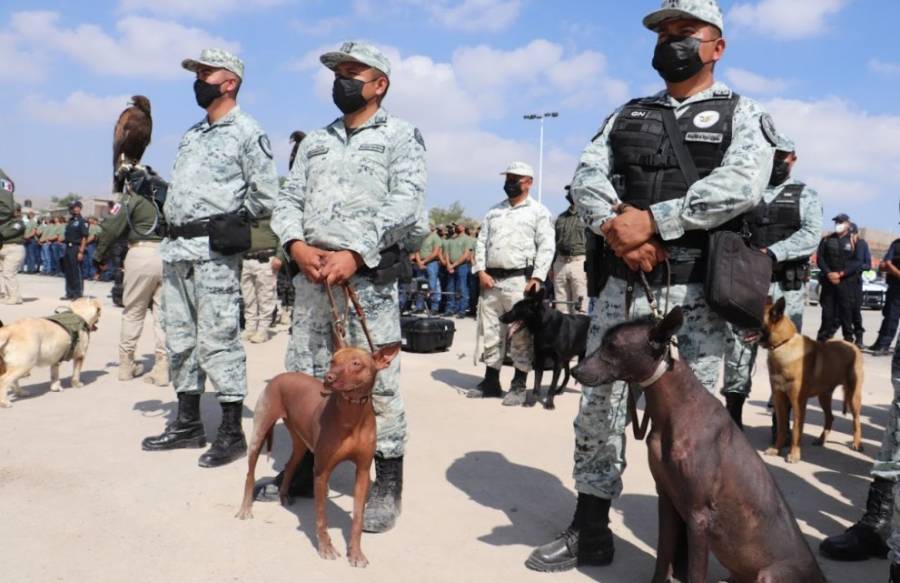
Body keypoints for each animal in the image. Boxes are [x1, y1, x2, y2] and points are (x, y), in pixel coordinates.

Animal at [236, 344, 400, 568]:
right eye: (333, 360)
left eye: (356, 363)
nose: (328, 377)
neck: (351, 413)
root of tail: (281, 376)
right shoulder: (322, 473)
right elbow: (322, 516)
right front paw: (326, 548)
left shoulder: (363, 472)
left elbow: (358, 519)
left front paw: (356, 553)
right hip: (260, 433)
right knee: (249, 474)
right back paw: (245, 508)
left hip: (300, 443)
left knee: (290, 465)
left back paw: (284, 494)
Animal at [572, 306, 828, 583]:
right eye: (602, 341)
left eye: (612, 346)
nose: (575, 370)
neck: (676, 411)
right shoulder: (667, 501)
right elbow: (663, 557)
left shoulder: (699, 516)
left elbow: (695, 572)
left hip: (770, 574)